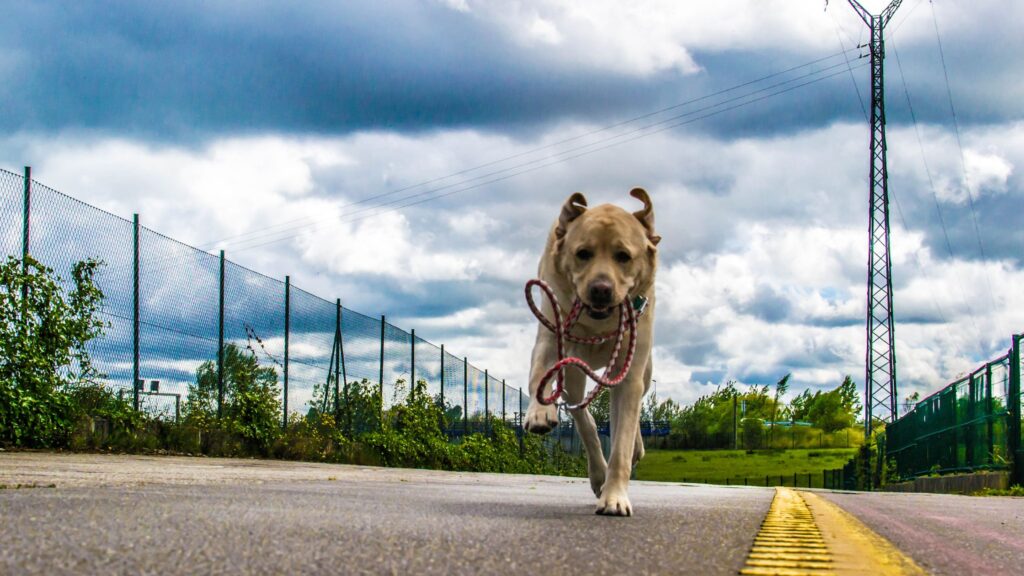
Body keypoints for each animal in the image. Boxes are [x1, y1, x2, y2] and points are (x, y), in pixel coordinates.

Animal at [524, 188, 659, 516]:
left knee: (630, 413)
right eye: (582, 253)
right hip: (574, 374)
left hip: (643, 371)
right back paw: (598, 473)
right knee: (584, 417)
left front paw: (615, 497)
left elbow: (621, 443)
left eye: (623, 256)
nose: (600, 289)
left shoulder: (630, 372)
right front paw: (539, 412)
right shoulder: (551, 336)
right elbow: (540, 377)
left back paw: (633, 449)